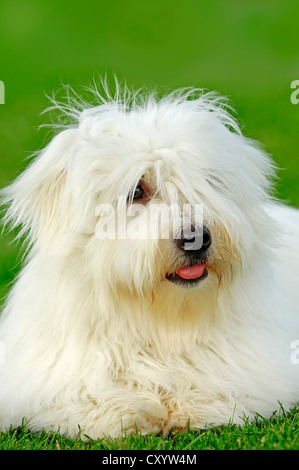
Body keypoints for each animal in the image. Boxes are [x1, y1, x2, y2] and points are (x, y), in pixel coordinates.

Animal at [0, 82, 299, 438]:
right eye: (137, 191)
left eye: (208, 183)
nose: (196, 237)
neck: (158, 319)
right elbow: (86, 397)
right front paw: (128, 412)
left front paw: (191, 407)